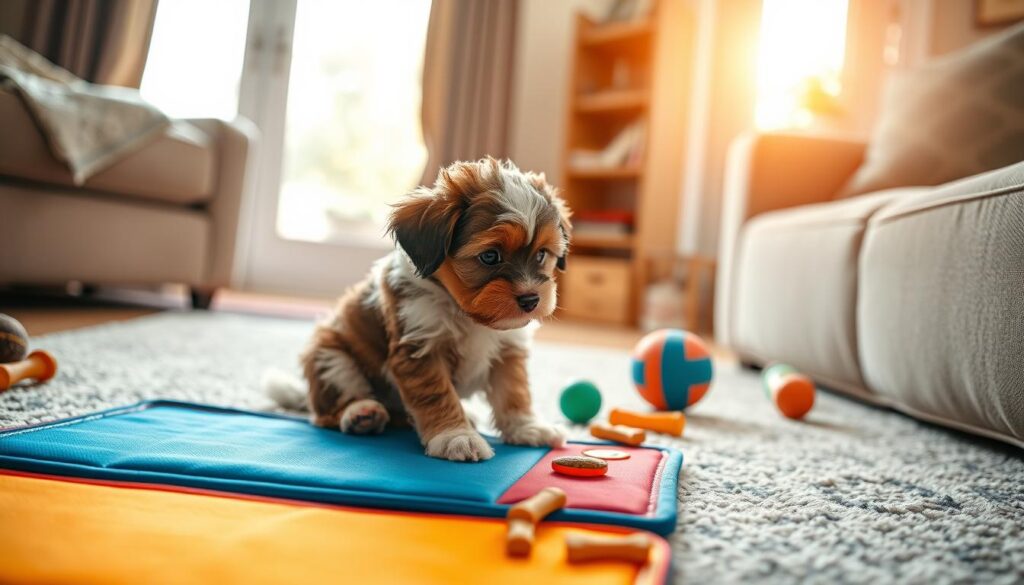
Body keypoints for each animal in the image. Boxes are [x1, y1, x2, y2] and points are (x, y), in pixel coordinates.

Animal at [264, 157, 573, 465]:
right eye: (490, 256)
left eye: (542, 255)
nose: (531, 299)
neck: (464, 314)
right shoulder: (418, 348)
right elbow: (436, 395)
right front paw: (455, 436)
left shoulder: (508, 349)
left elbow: (513, 391)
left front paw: (526, 427)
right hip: (330, 358)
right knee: (329, 410)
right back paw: (361, 413)